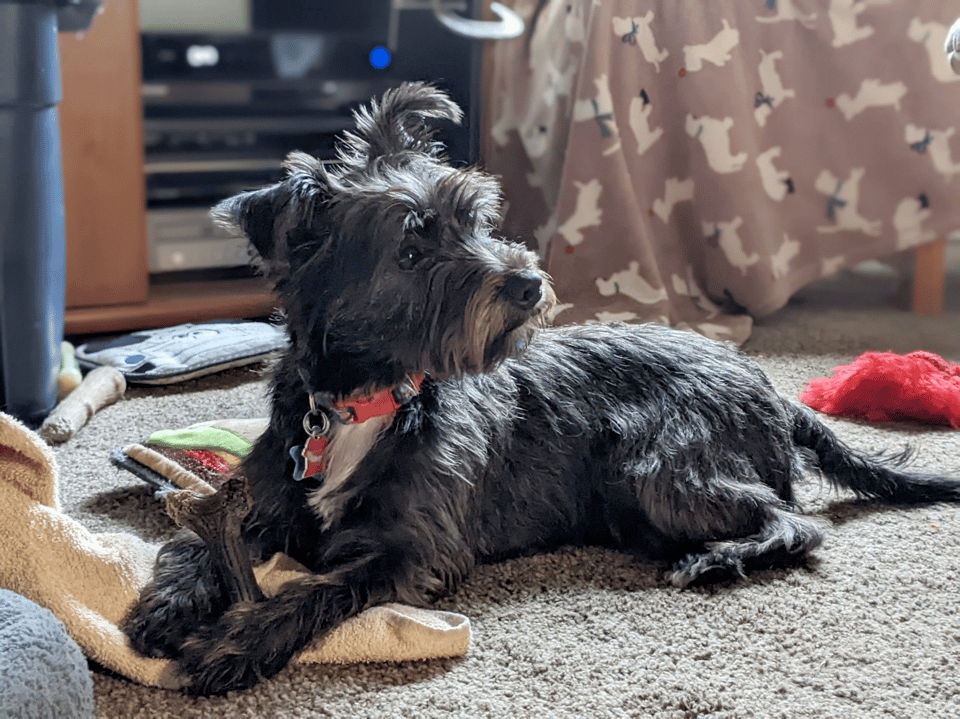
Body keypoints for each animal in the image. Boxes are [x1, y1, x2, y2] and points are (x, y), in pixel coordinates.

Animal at [122, 81, 960, 696]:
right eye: (412, 245)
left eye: (477, 218)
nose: (526, 284)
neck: (366, 399)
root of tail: (767, 384)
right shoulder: (260, 501)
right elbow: (195, 544)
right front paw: (168, 606)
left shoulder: (410, 548)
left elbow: (315, 590)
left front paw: (233, 642)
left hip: (659, 470)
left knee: (795, 521)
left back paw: (721, 557)